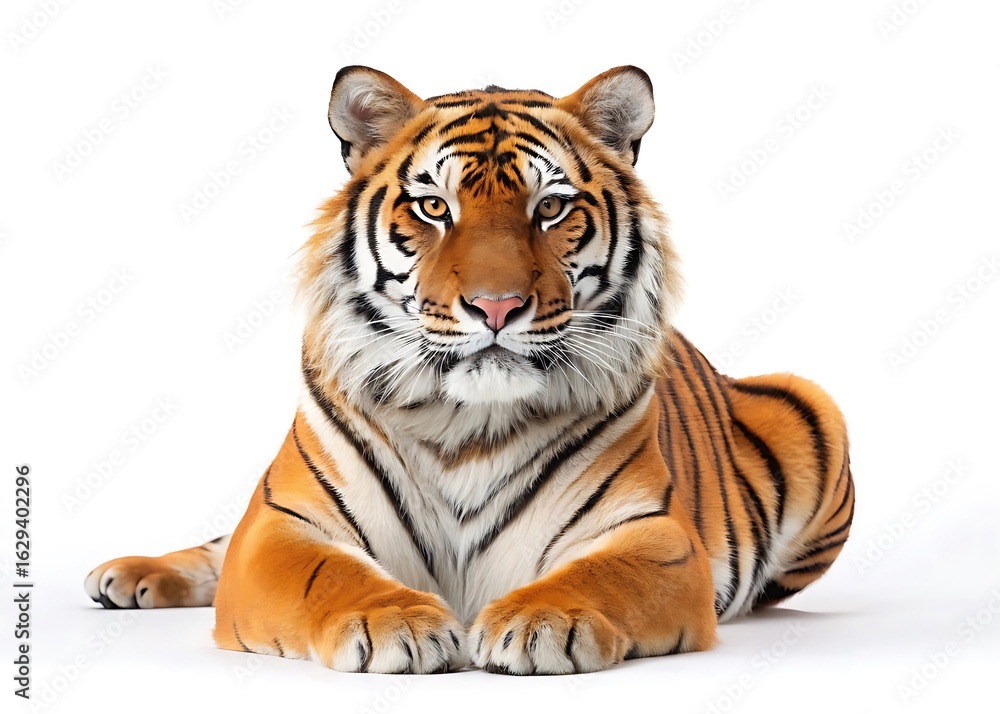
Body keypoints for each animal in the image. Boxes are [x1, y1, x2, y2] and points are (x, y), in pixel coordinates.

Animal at [85, 65, 854, 675]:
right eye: (434, 207)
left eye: (551, 208)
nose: (497, 306)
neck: (463, 420)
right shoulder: (280, 527)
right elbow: (327, 575)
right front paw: (395, 622)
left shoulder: (655, 535)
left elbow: (603, 575)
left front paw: (540, 621)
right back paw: (127, 575)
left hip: (816, 405)